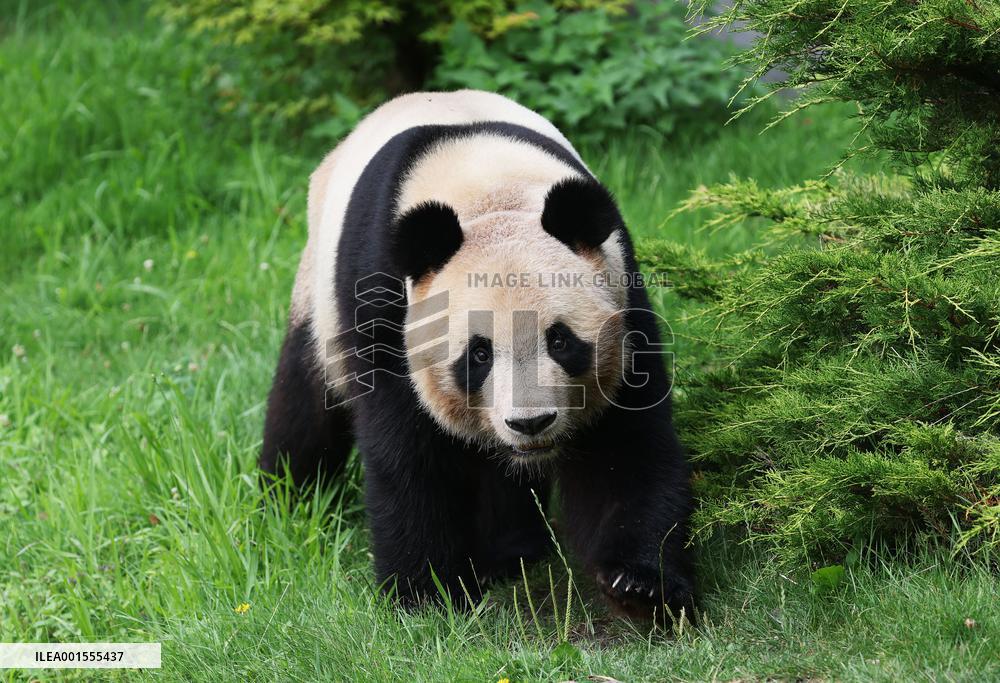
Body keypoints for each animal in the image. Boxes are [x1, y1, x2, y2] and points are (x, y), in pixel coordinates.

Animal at [261, 90, 694, 621]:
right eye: (479, 354)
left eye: (560, 341)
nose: (531, 423)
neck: (488, 190)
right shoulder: (383, 300)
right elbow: (408, 453)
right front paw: (425, 595)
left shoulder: (621, 292)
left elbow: (623, 445)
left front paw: (639, 586)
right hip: (317, 295)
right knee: (304, 403)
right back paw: (286, 501)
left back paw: (511, 553)